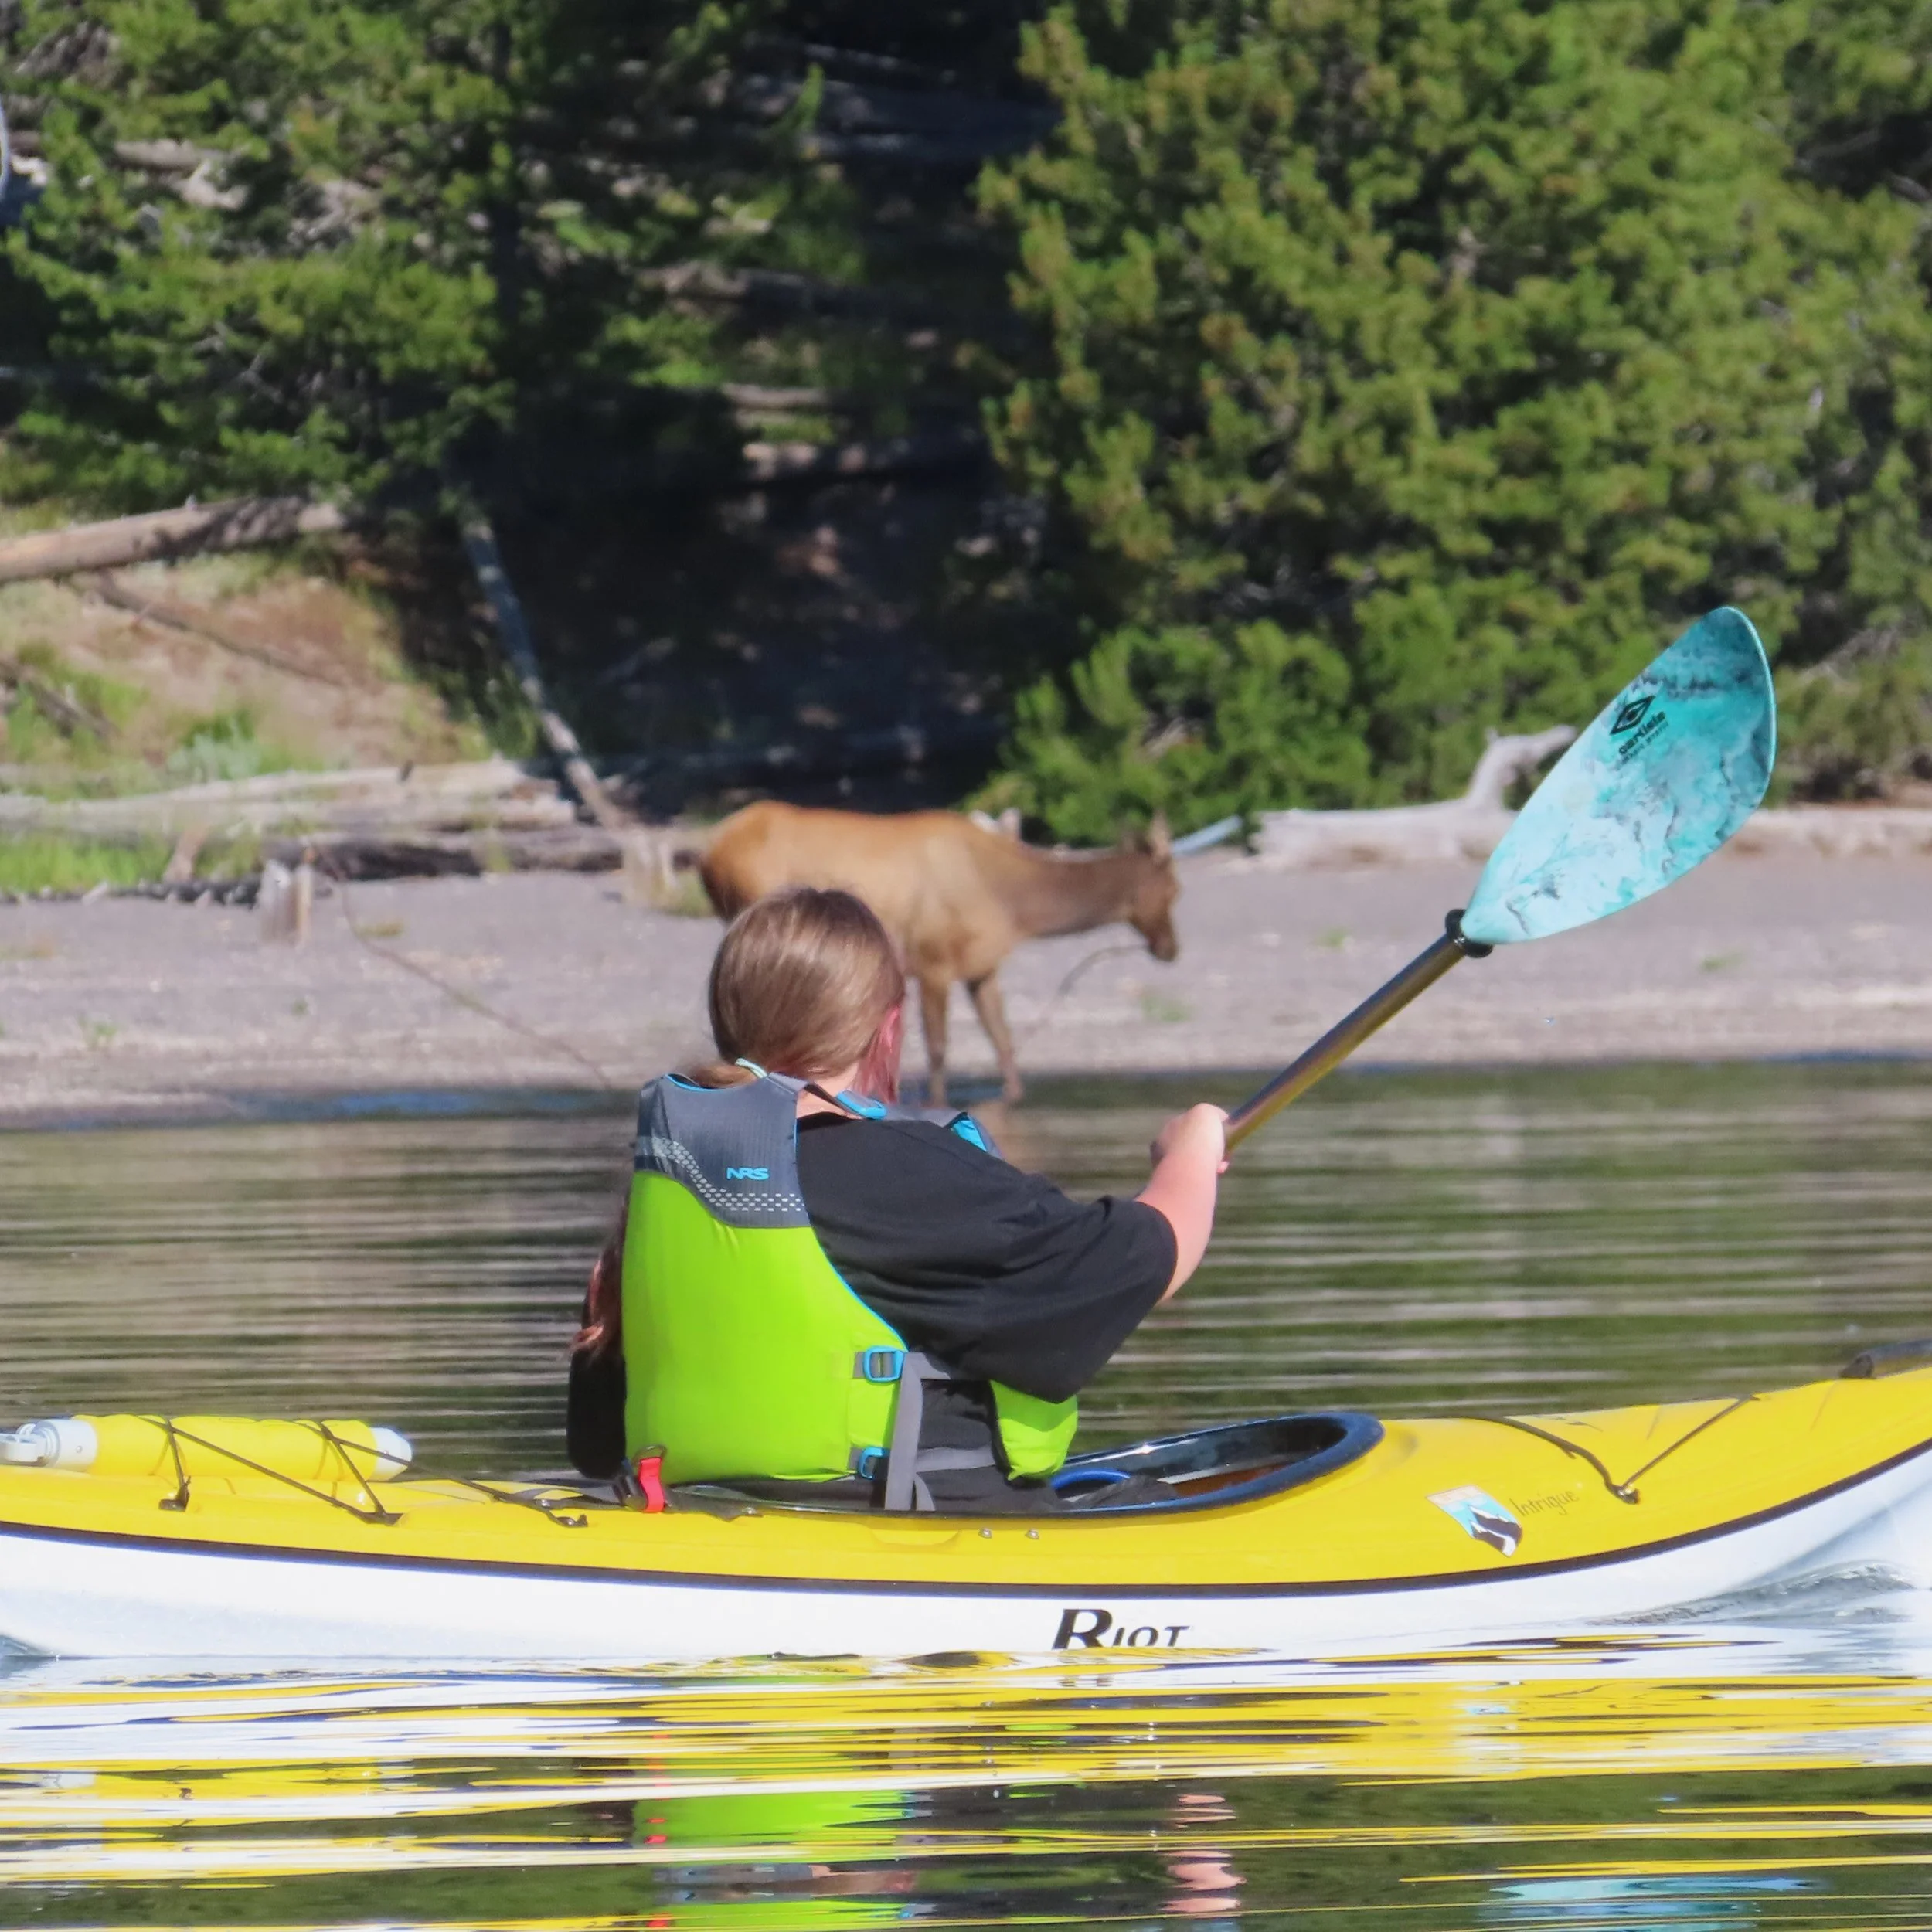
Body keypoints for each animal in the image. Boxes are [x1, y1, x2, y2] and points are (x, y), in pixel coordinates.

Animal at [693, 802, 1181, 1105]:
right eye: (1175, 889)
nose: (1171, 949)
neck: (1011, 909)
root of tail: (709, 850)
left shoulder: (981, 966)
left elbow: (1003, 1040)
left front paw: (1013, 1096)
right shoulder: (934, 961)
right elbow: (940, 1047)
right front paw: (934, 1100)